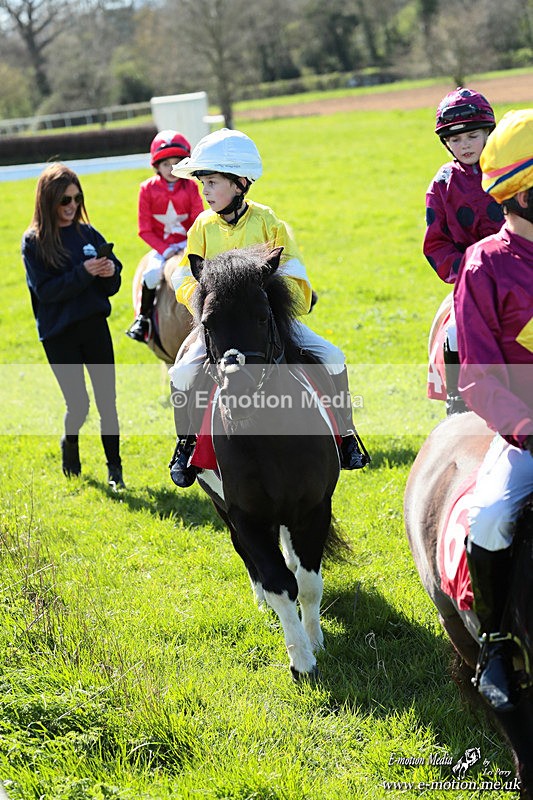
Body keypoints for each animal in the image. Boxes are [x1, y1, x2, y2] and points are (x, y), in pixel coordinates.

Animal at [186, 244, 342, 679]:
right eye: (208, 321)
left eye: (261, 315)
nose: (237, 391)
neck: (271, 437)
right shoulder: (247, 516)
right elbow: (279, 583)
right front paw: (301, 660)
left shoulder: (313, 509)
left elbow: (308, 582)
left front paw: (316, 641)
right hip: (222, 509)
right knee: (246, 555)